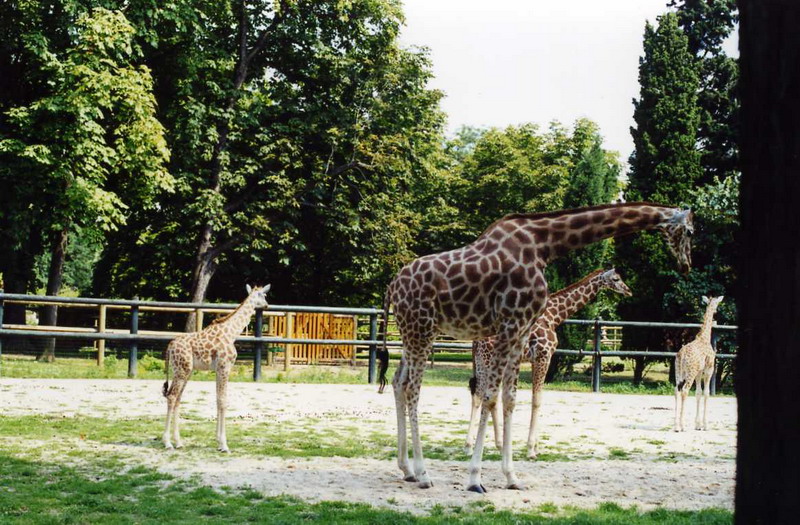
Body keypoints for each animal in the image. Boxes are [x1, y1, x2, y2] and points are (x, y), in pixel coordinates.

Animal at [162, 284, 271, 452]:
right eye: (263, 295)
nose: (266, 305)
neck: (232, 332)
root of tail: (170, 347)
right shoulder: (225, 367)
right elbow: (223, 401)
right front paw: (224, 444)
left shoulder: (219, 369)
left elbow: (218, 400)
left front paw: (218, 441)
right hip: (182, 370)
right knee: (172, 396)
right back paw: (167, 443)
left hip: (184, 371)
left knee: (177, 397)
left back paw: (178, 442)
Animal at [465, 268, 632, 458]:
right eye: (616, 278)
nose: (628, 290)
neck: (553, 316)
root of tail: (476, 341)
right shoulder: (543, 356)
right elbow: (537, 400)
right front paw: (531, 449)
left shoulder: (536, 359)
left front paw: (535, 446)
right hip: (485, 360)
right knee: (479, 395)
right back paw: (470, 446)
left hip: (485, 361)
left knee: (484, 395)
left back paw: (497, 445)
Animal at [674, 295, 724, 432]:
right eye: (717, 303)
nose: (716, 311)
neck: (704, 337)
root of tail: (682, 355)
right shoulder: (708, 370)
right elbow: (706, 393)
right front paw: (705, 425)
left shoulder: (699, 372)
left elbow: (698, 393)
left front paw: (697, 424)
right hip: (690, 373)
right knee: (684, 391)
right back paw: (681, 426)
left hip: (679, 372)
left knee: (676, 390)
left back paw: (675, 425)